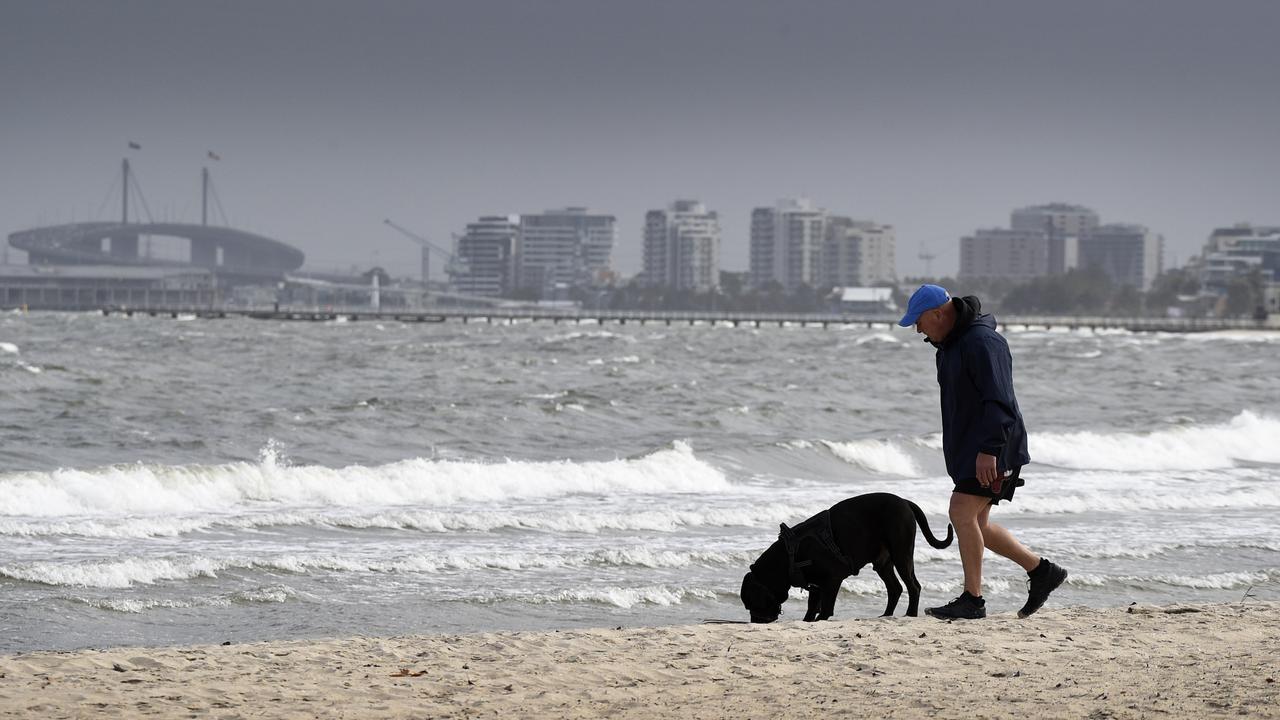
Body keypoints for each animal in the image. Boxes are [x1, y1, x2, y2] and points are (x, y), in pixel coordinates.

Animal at [742, 489, 952, 620]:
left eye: (752, 603)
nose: (755, 621)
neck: (790, 555)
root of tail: (904, 502)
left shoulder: (832, 580)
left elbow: (826, 608)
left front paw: (820, 619)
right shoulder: (816, 586)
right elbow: (812, 607)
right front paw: (809, 619)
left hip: (902, 554)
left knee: (913, 586)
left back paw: (910, 614)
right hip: (883, 562)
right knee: (895, 588)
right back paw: (886, 615)